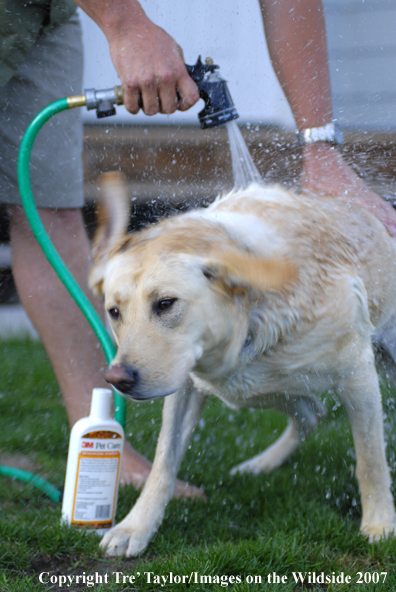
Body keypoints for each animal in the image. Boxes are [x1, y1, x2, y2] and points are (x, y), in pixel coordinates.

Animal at [89, 171, 396, 556]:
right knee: (312, 413)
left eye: (165, 303)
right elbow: (163, 462)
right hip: (263, 388)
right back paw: (260, 465)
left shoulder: (356, 372)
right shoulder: (186, 386)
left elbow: (370, 459)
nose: (117, 378)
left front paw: (380, 524)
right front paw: (135, 527)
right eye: (114, 312)